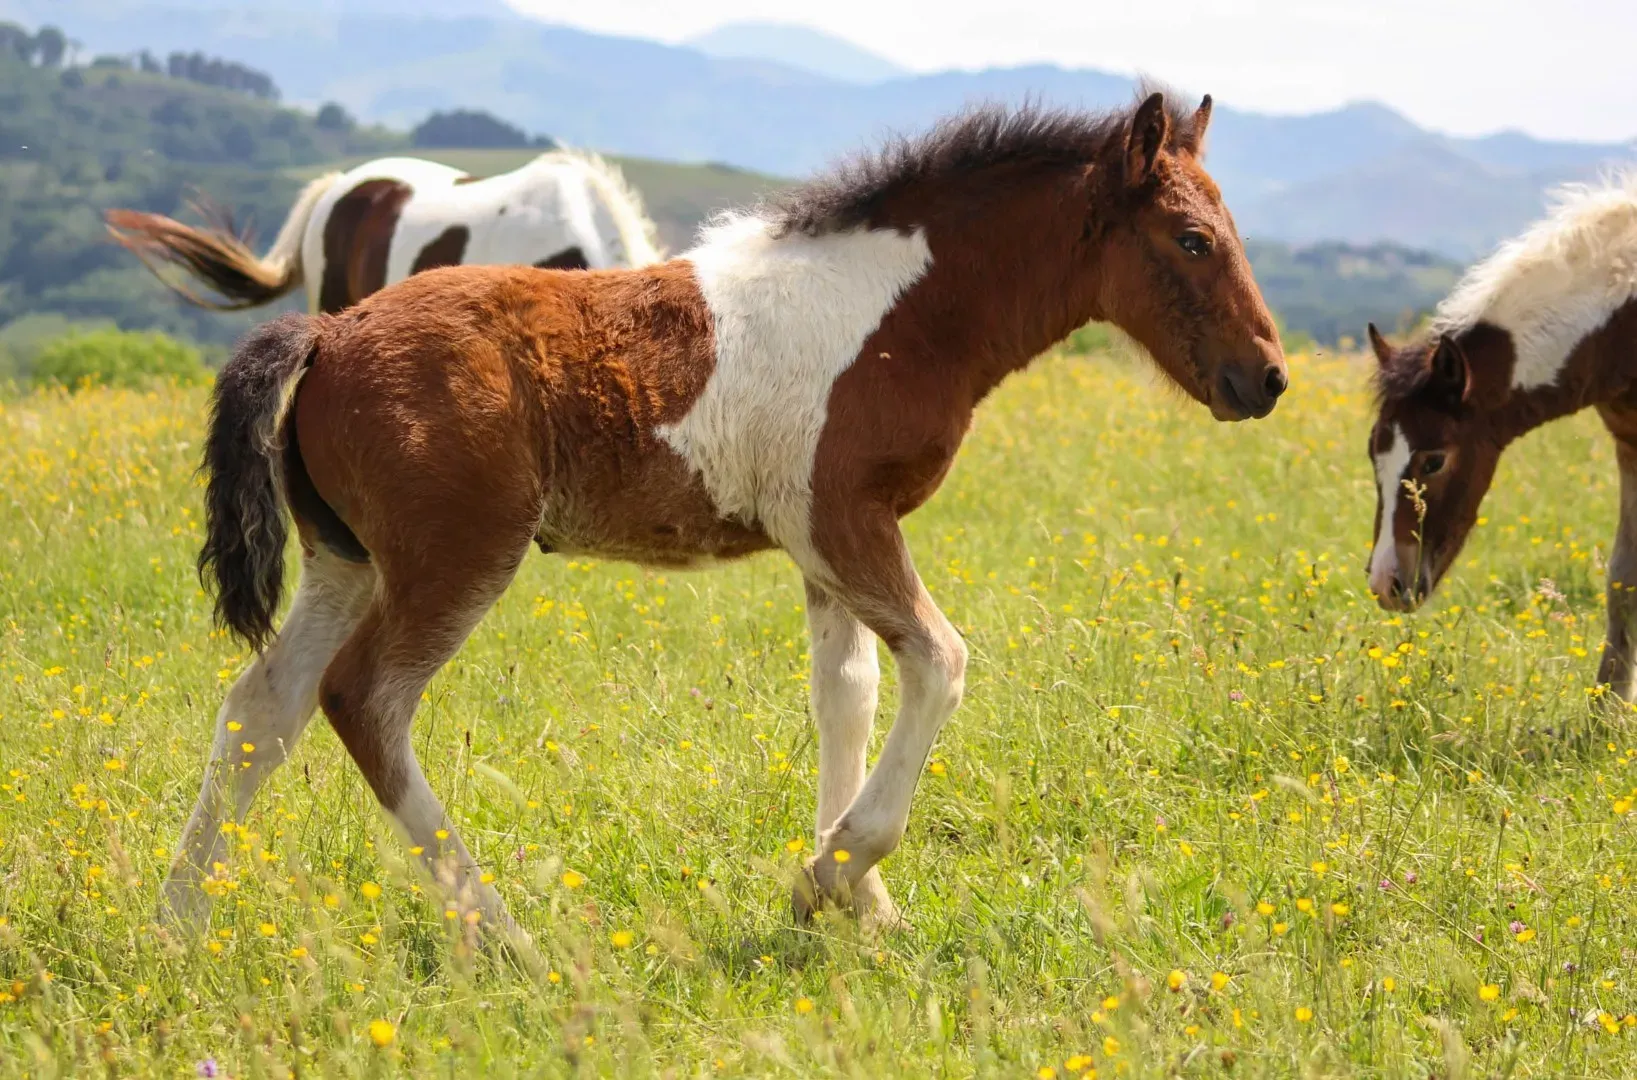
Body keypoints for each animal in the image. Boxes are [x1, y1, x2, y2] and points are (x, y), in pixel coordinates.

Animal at [164, 91, 1288, 937]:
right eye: (1191, 238)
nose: (1266, 377)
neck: (894, 314)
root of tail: (323, 334)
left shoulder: (824, 545)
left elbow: (847, 694)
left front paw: (862, 902)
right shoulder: (843, 520)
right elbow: (941, 662)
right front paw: (832, 874)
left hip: (347, 561)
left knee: (262, 707)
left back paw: (183, 917)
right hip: (453, 559)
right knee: (362, 701)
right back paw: (504, 935)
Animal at [1365, 172, 1637, 695]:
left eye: (1434, 459)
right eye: (1375, 454)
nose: (1387, 584)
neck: (1624, 323)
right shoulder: (1630, 446)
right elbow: (1623, 585)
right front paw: (1604, 712)